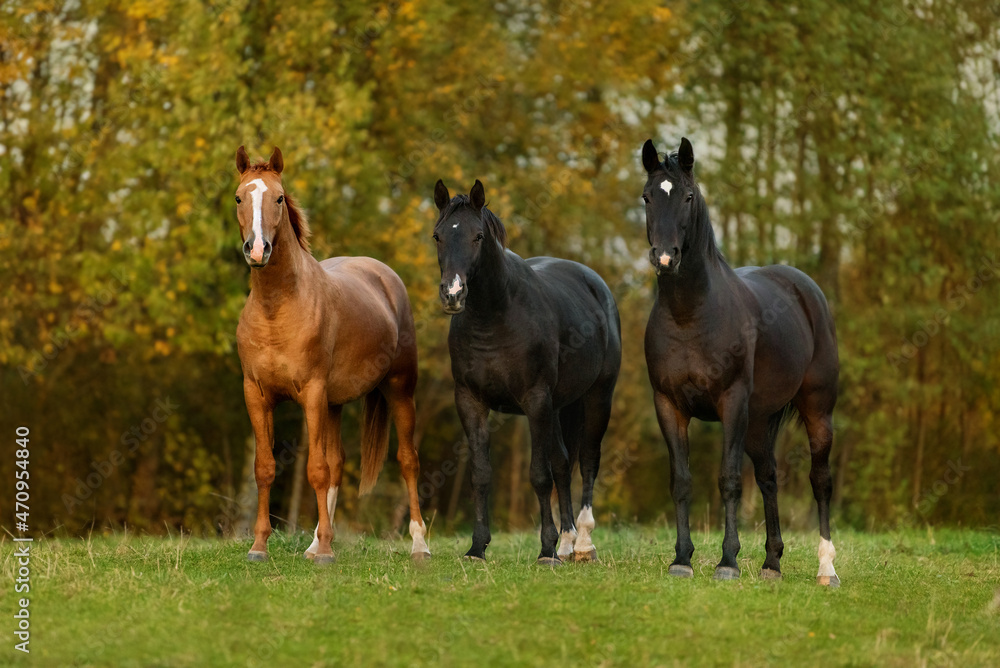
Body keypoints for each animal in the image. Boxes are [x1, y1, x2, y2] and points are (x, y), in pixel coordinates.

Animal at [234, 146, 430, 564]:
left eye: (279, 198)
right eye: (239, 198)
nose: (257, 250)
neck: (277, 308)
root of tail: (384, 275)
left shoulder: (312, 393)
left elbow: (316, 469)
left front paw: (325, 552)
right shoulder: (256, 395)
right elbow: (265, 468)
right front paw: (260, 546)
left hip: (400, 392)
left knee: (408, 461)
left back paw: (419, 545)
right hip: (335, 404)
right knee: (339, 464)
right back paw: (315, 542)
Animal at [434, 177, 620, 564]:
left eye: (478, 236)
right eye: (438, 236)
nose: (453, 294)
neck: (495, 317)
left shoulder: (535, 401)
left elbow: (539, 475)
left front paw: (546, 549)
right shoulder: (470, 401)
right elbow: (481, 474)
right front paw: (477, 547)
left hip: (597, 398)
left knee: (587, 461)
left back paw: (582, 544)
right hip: (559, 406)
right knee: (564, 463)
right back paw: (567, 543)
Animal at [640, 138, 844, 588]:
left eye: (688, 196)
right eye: (647, 197)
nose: (664, 259)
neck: (690, 315)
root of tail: (806, 290)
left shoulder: (731, 403)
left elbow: (728, 480)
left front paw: (727, 562)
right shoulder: (668, 405)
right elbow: (681, 481)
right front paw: (681, 559)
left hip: (816, 409)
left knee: (820, 479)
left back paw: (827, 568)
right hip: (758, 422)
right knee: (768, 478)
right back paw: (772, 564)